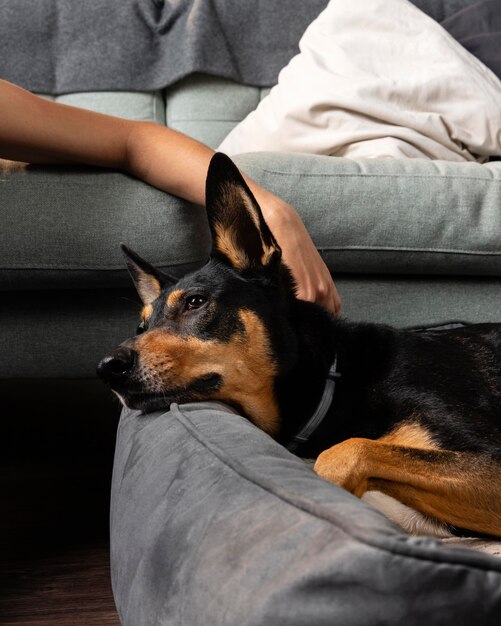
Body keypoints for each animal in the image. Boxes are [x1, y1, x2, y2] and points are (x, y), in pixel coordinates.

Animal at [98, 151, 500, 536]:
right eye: (141, 325)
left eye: (195, 302)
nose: (107, 367)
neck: (333, 379)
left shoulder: (489, 459)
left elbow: (343, 453)